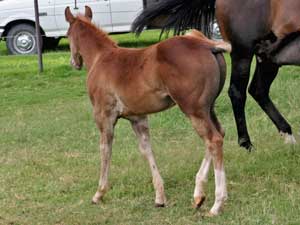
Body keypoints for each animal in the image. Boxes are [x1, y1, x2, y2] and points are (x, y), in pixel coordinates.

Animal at [64, 5, 231, 215]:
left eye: (67, 34)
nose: (74, 63)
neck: (100, 58)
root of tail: (206, 44)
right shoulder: (138, 117)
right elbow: (146, 150)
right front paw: (159, 197)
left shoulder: (104, 117)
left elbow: (105, 150)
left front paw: (99, 193)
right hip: (208, 108)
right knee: (220, 134)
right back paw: (198, 194)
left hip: (194, 110)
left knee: (213, 140)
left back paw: (217, 203)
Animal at [132, 0, 298, 150]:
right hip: (244, 52)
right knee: (238, 92)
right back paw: (246, 143)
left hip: (268, 57)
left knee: (258, 90)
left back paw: (288, 136)